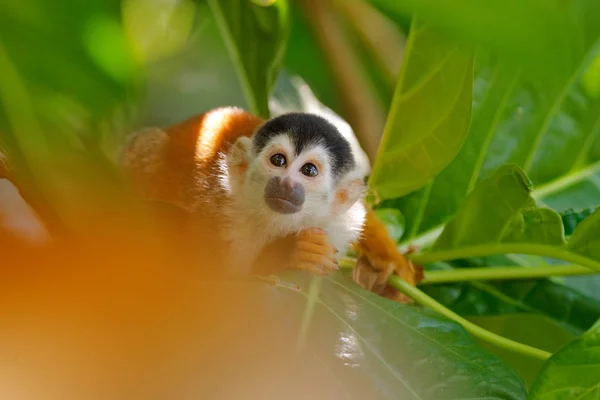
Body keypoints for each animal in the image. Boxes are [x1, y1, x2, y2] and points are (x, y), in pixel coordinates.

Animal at [120, 106, 422, 300]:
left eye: (309, 170)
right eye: (279, 160)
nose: (286, 183)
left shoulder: (342, 219)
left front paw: (390, 266)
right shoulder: (226, 215)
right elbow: (218, 281)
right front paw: (292, 252)